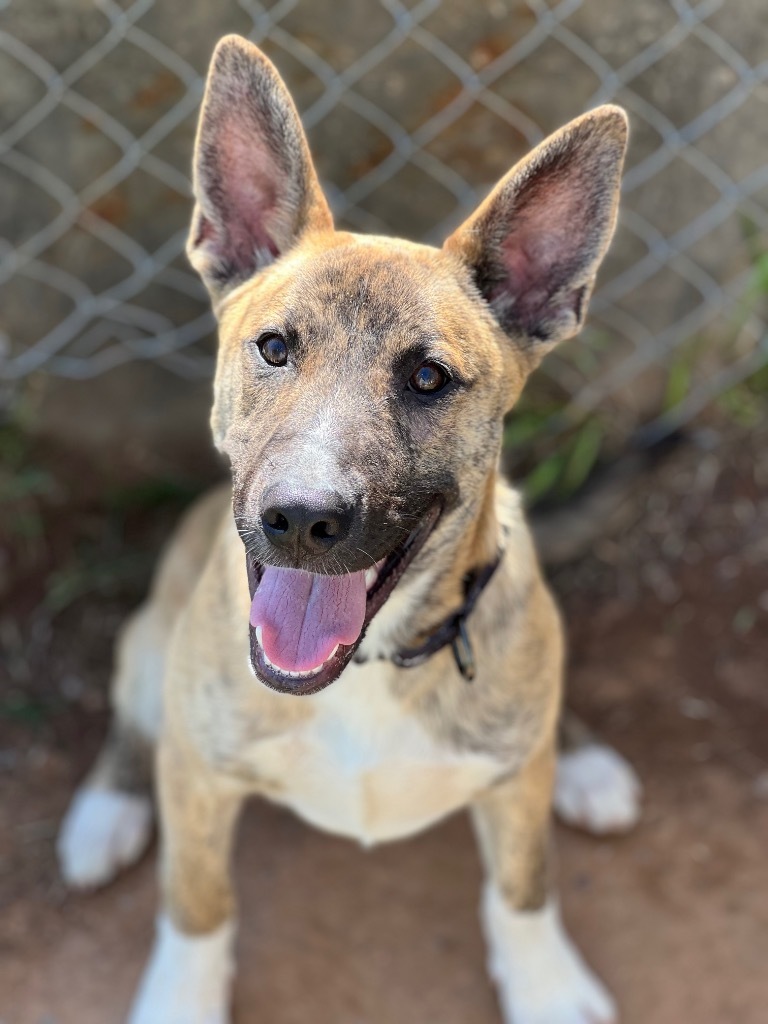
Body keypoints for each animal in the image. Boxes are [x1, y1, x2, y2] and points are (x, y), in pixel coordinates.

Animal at [57, 34, 638, 1024]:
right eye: (273, 347)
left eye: (429, 378)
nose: (300, 517)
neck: (366, 668)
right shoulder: (200, 777)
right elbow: (198, 899)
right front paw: (180, 997)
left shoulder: (513, 798)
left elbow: (523, 885)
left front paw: (549, 987)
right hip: (147, 649)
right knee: (136, 725)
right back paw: (106, 813)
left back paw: (585, 762)